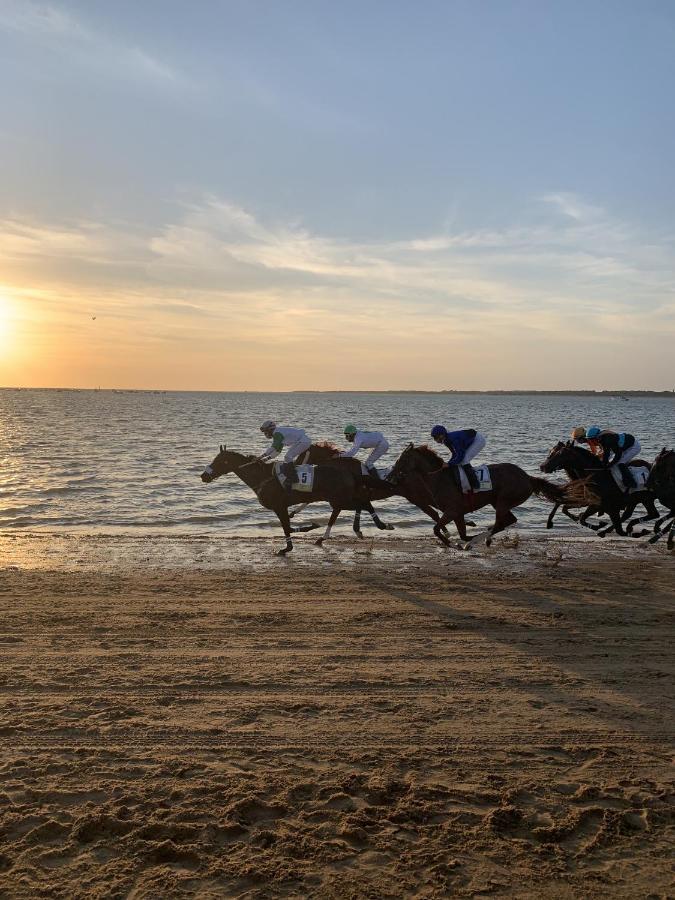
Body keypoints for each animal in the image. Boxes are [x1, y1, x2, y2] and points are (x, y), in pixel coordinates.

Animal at [199, 444, 396, 556]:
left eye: (219, 461)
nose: (203, 476)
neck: (262, 476)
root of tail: (350, 471)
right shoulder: (283, 507)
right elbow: (289, 527)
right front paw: (310, 527)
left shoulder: (279, 506)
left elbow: (287, 528)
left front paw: (286, 548)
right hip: (338, 499)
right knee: (359, 504)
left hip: (340, 499)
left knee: (364, 503)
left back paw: (381, 525)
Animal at [386, 444, 564, 548]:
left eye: (402, 459)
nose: (389, 477)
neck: (439, 478)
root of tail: (528, 477)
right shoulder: (458, 513)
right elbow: (462, 534)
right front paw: (459, 540)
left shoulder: (452, 511)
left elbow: (437, 529)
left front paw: (452, 542)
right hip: (497, 502)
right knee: (507, 521)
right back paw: (482, 538)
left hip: (503, 501)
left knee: (501, 523)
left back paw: (478, 541)